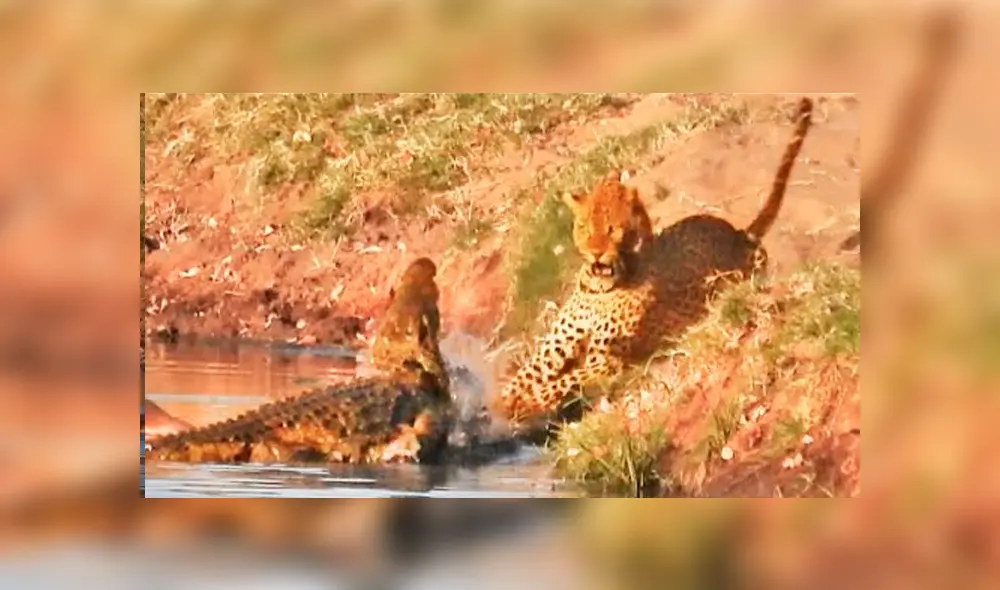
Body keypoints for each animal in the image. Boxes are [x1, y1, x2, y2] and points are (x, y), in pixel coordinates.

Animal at [144, 257, 455, 465]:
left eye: (401, 290)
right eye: (430, 296)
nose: (423, 262)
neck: (402, 364)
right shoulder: (426, 408)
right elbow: (419, 439)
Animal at [496, 97, 815, 437]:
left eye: (612, 228)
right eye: (583, 226)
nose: (596, 255)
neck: (599, 287)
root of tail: (736, 232)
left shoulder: (607, 361)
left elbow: (558, 383)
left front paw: (524, 404)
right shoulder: (553, 349)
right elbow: (524, 376)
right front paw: (500, 403)